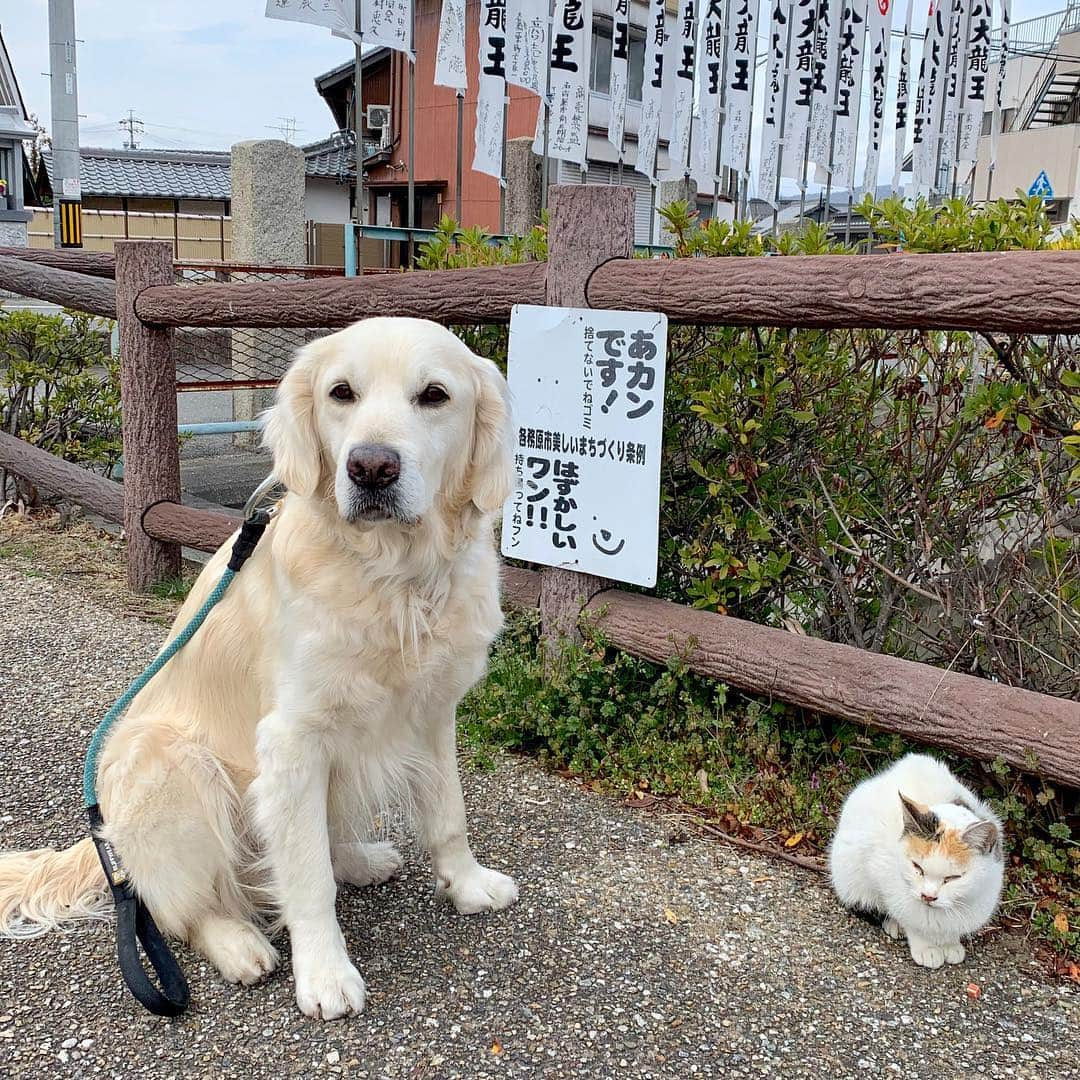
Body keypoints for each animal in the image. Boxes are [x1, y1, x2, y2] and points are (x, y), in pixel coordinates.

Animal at [0, 315, 518, 1015]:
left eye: (434, 395)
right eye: (341, 393)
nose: (371, 467)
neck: (394, 575)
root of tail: (111, 844)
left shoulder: (433, 713)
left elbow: (448, 815)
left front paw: (466, 885)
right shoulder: (291, 740)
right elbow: (306, 879)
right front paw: (324, 973)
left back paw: (360, 860)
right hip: (167, 762)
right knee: (181, 907)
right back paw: (237, 943)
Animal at [833, 751, 1002, 972]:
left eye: (953, 878)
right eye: (917, 867)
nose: (928, 896)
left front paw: (950, 944)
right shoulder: (882, 873)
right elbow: (912, 920)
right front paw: (926, 947)